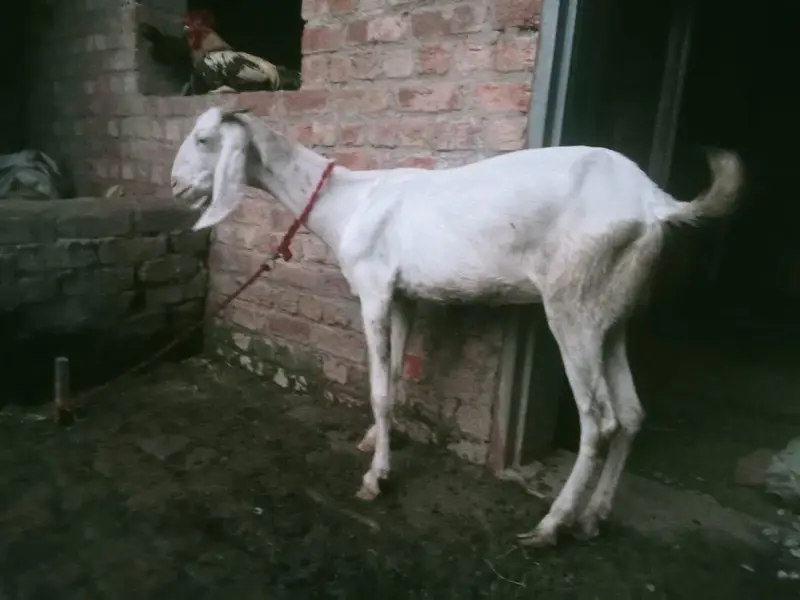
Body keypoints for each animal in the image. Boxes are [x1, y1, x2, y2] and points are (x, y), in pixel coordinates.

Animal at [170, 106, 744, 547]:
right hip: (614, 311)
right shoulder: (404, 297)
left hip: (573, 302)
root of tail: (654, 203)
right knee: (630, 413)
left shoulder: (374, 288)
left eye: (204, 140)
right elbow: (395, 377)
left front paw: (375, 479)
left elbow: (379, 388)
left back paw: (550, 526)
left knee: (599, 420)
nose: (175, 187)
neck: (349, 200)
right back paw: (593, 517)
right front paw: (374, 442)